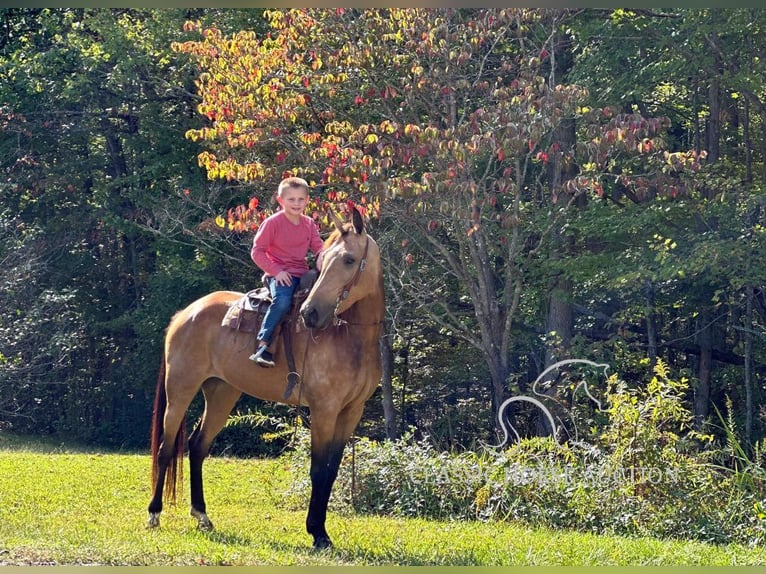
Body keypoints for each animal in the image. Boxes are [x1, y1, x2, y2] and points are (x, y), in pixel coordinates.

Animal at [146, 209, 384, 552]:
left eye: (349, 260)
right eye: (324, 261)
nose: (311, 313)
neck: (350, 337)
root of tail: (185, 313)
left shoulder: (352, 412)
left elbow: (332, 471)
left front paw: (321, 531)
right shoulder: (324, 410)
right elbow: (318, 471)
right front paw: (317, 532)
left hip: (221, 393)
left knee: (198, 445)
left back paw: (202, 515)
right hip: (180, 390)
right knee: (166, 448)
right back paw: (154, 514)